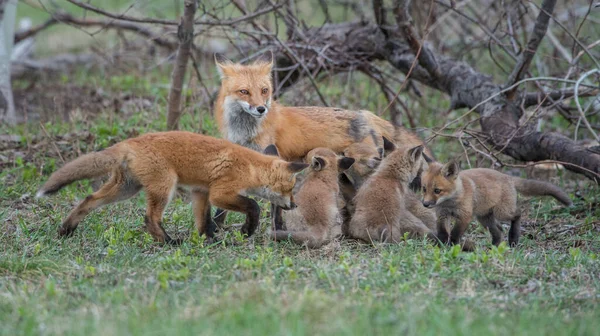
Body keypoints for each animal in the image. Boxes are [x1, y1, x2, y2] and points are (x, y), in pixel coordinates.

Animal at [37, 131, 308, 244]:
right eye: (291, 187)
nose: (295, 205)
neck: (251, 167)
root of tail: (129, 142)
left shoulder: (201, 192)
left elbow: (203, 221)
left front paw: (209, 240)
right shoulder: (220, 193)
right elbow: (253, 205)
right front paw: (246, 230)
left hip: (125, 189)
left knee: (87, 200)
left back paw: (66, 229)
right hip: (164, 187)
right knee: (149, 219)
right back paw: (169, 242)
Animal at [422, 160, 572, 247]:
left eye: (437, 190)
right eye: (424, 189)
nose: (425, 204)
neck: (451, 202)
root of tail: (508, 177)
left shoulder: (465, 216)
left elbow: (454, 233)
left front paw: (452, 246)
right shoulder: (442, 215)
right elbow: (442, 233)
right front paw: (441, 246)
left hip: (502, 213)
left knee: (518, 214)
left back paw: (513, 238)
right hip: (484, 218)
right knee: (498, 231)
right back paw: (494, 246)